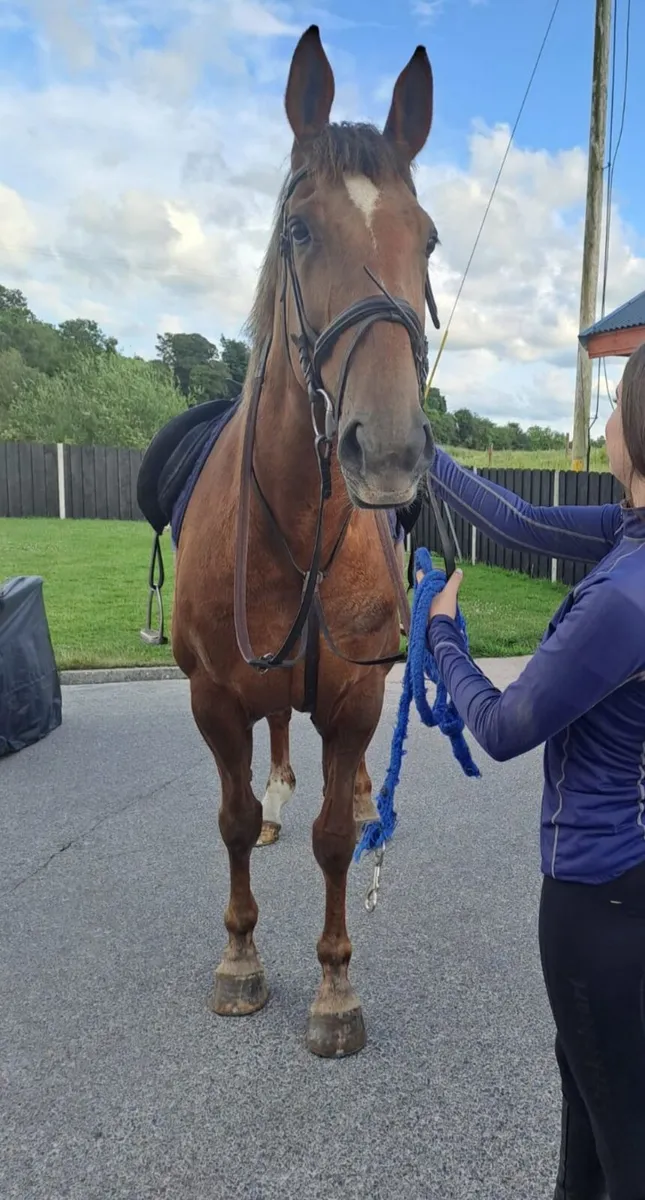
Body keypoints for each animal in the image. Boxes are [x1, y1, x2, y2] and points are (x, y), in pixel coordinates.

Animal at [171, 24, 440, 1058]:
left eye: (427, 238)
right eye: (297, 231)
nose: (390, 449)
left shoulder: (356, 699)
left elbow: (334, 840)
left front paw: (332, 987)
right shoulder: (212, 700)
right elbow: (233, 818)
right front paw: (241, 958)